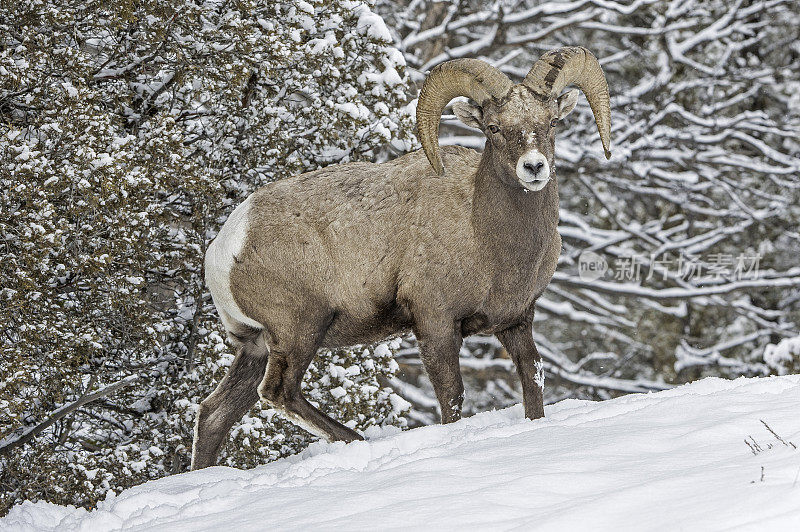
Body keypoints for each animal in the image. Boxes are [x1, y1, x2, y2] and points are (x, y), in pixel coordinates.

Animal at [191, 46, 608, 470]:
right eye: (492, 127)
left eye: (552, 121)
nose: (534, 167)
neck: (485, 236)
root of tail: (226, 246)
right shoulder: (435, 324)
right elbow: (452, 395)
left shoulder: (516, 321)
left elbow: (533, 380)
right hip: (299, 332)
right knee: (279, 393)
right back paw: (359, 442)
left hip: (256, 347)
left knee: (214, 415)